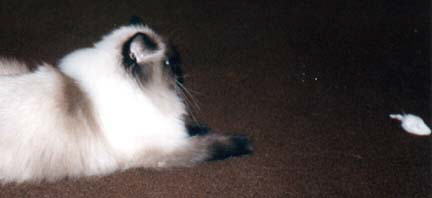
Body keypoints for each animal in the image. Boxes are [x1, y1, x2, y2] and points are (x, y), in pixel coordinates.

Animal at [0, 17, 251, 184]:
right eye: (169, 63)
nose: (181, 73)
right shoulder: (165, 149)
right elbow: (212, 145)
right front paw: (245, 143)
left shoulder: (170, 131)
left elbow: (194, 129)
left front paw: (204, 127)